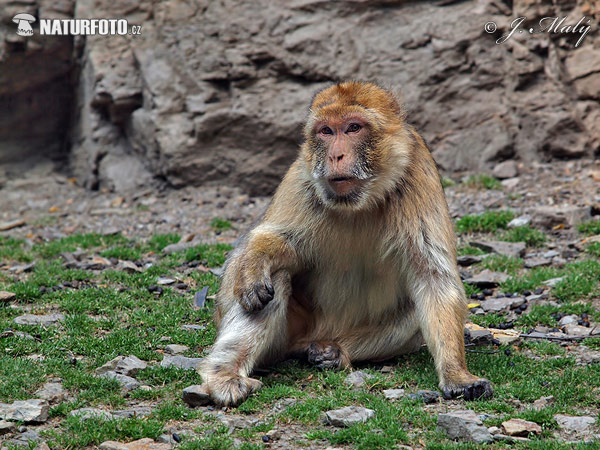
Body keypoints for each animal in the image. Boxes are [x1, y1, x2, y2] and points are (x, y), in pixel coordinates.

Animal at [197, 81, 492, 408]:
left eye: (353, 128)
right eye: (326, 131)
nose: (336, 155)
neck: (359, 202)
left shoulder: (418, 174)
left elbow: (433, 279)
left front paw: (456, 373)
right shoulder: (301, 176)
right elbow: (280, 243)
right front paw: (255, 265)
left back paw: (334, 353)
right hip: (286, 333)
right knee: (275, 277)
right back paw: (225, 374)